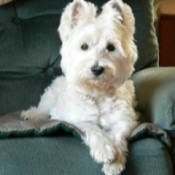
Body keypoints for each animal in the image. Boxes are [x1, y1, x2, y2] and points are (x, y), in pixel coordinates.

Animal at [21, 0, 138, 174]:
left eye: (111, 47)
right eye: (84, 46)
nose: (97, 69)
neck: (96, 93)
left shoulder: (125, 117)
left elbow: (118, 133)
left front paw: (115, 161)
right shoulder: (73, 118)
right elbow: (91, 128)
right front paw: (105, 149)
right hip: (51, 97)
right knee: (43, 109)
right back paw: (30, 114)